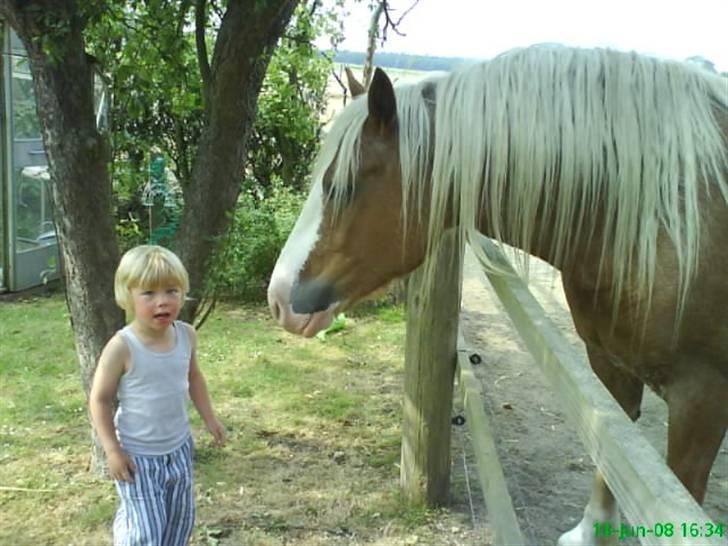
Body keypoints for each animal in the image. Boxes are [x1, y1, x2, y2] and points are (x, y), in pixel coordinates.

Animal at [268, 44, 728, 540]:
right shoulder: (610, 367)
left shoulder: (700, 401)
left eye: (342, 186)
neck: (667, 216)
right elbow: (611, 460)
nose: (278, 297)